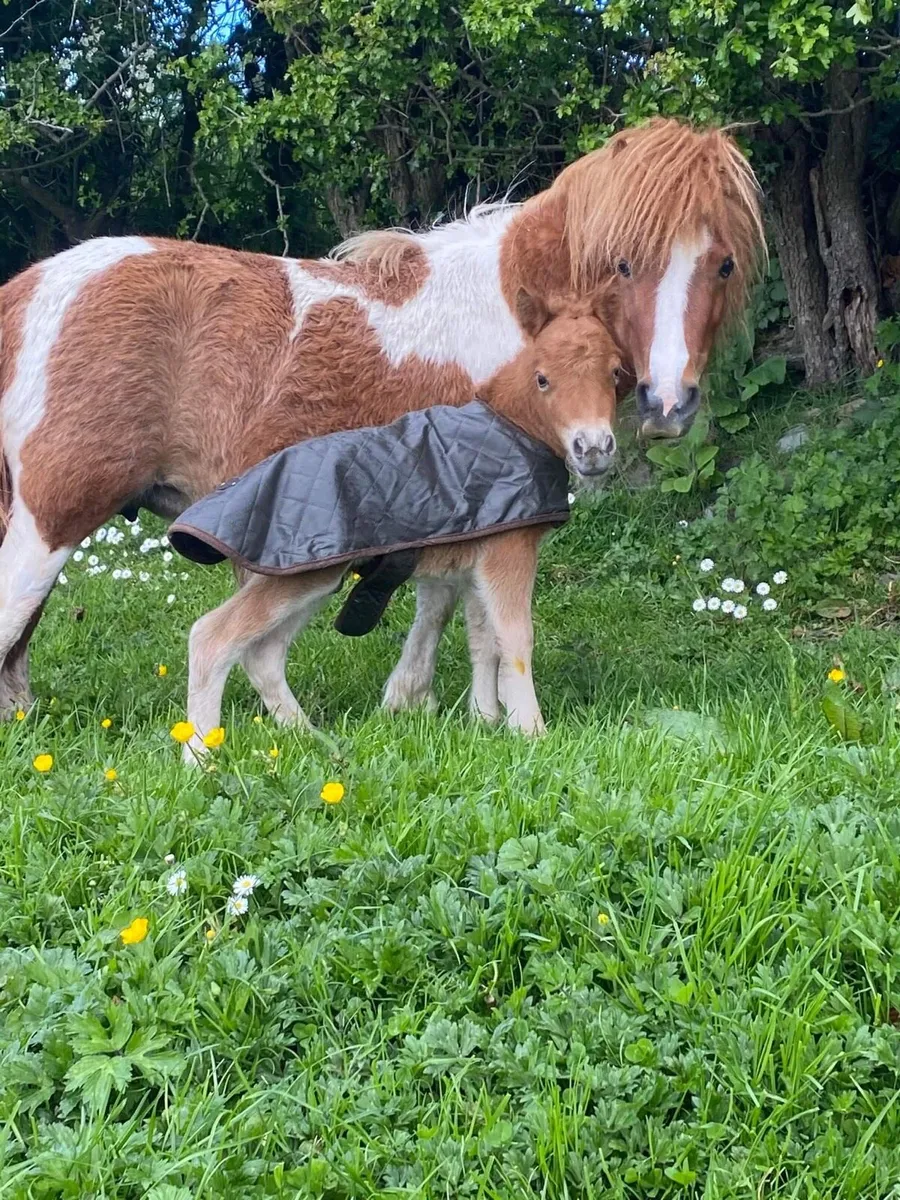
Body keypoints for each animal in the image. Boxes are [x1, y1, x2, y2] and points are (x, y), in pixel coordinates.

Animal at [180, 299, 621, 760]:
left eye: (615, 372)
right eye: (542, 378)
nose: (593, 448)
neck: (511, 428)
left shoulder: (478, 558)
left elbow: (483, 640)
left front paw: (485, 721)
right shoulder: (509, 550)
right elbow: (516, 639)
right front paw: (532, 732)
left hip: (307, 580)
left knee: (262, 653)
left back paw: (314, 739)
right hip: (299, 573)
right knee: (211, 637)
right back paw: (200, 757)